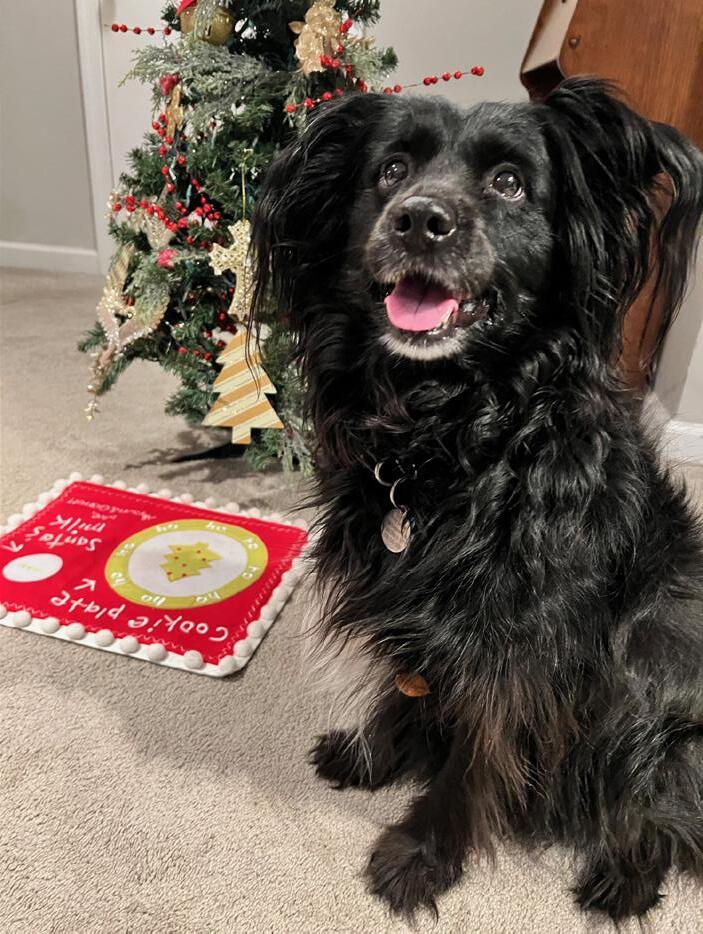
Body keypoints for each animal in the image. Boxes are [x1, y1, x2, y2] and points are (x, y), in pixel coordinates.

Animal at [250, 77, 703, 921]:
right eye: (390, 169)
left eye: (510, 182)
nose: (417, 219)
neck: (452, 438)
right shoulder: (412, 613)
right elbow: (405, 694)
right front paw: (371, 755)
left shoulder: (511, 651)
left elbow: (470, 759)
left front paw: (420, 858)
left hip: (648, 678)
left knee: (654, 798)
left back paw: (622, 878)